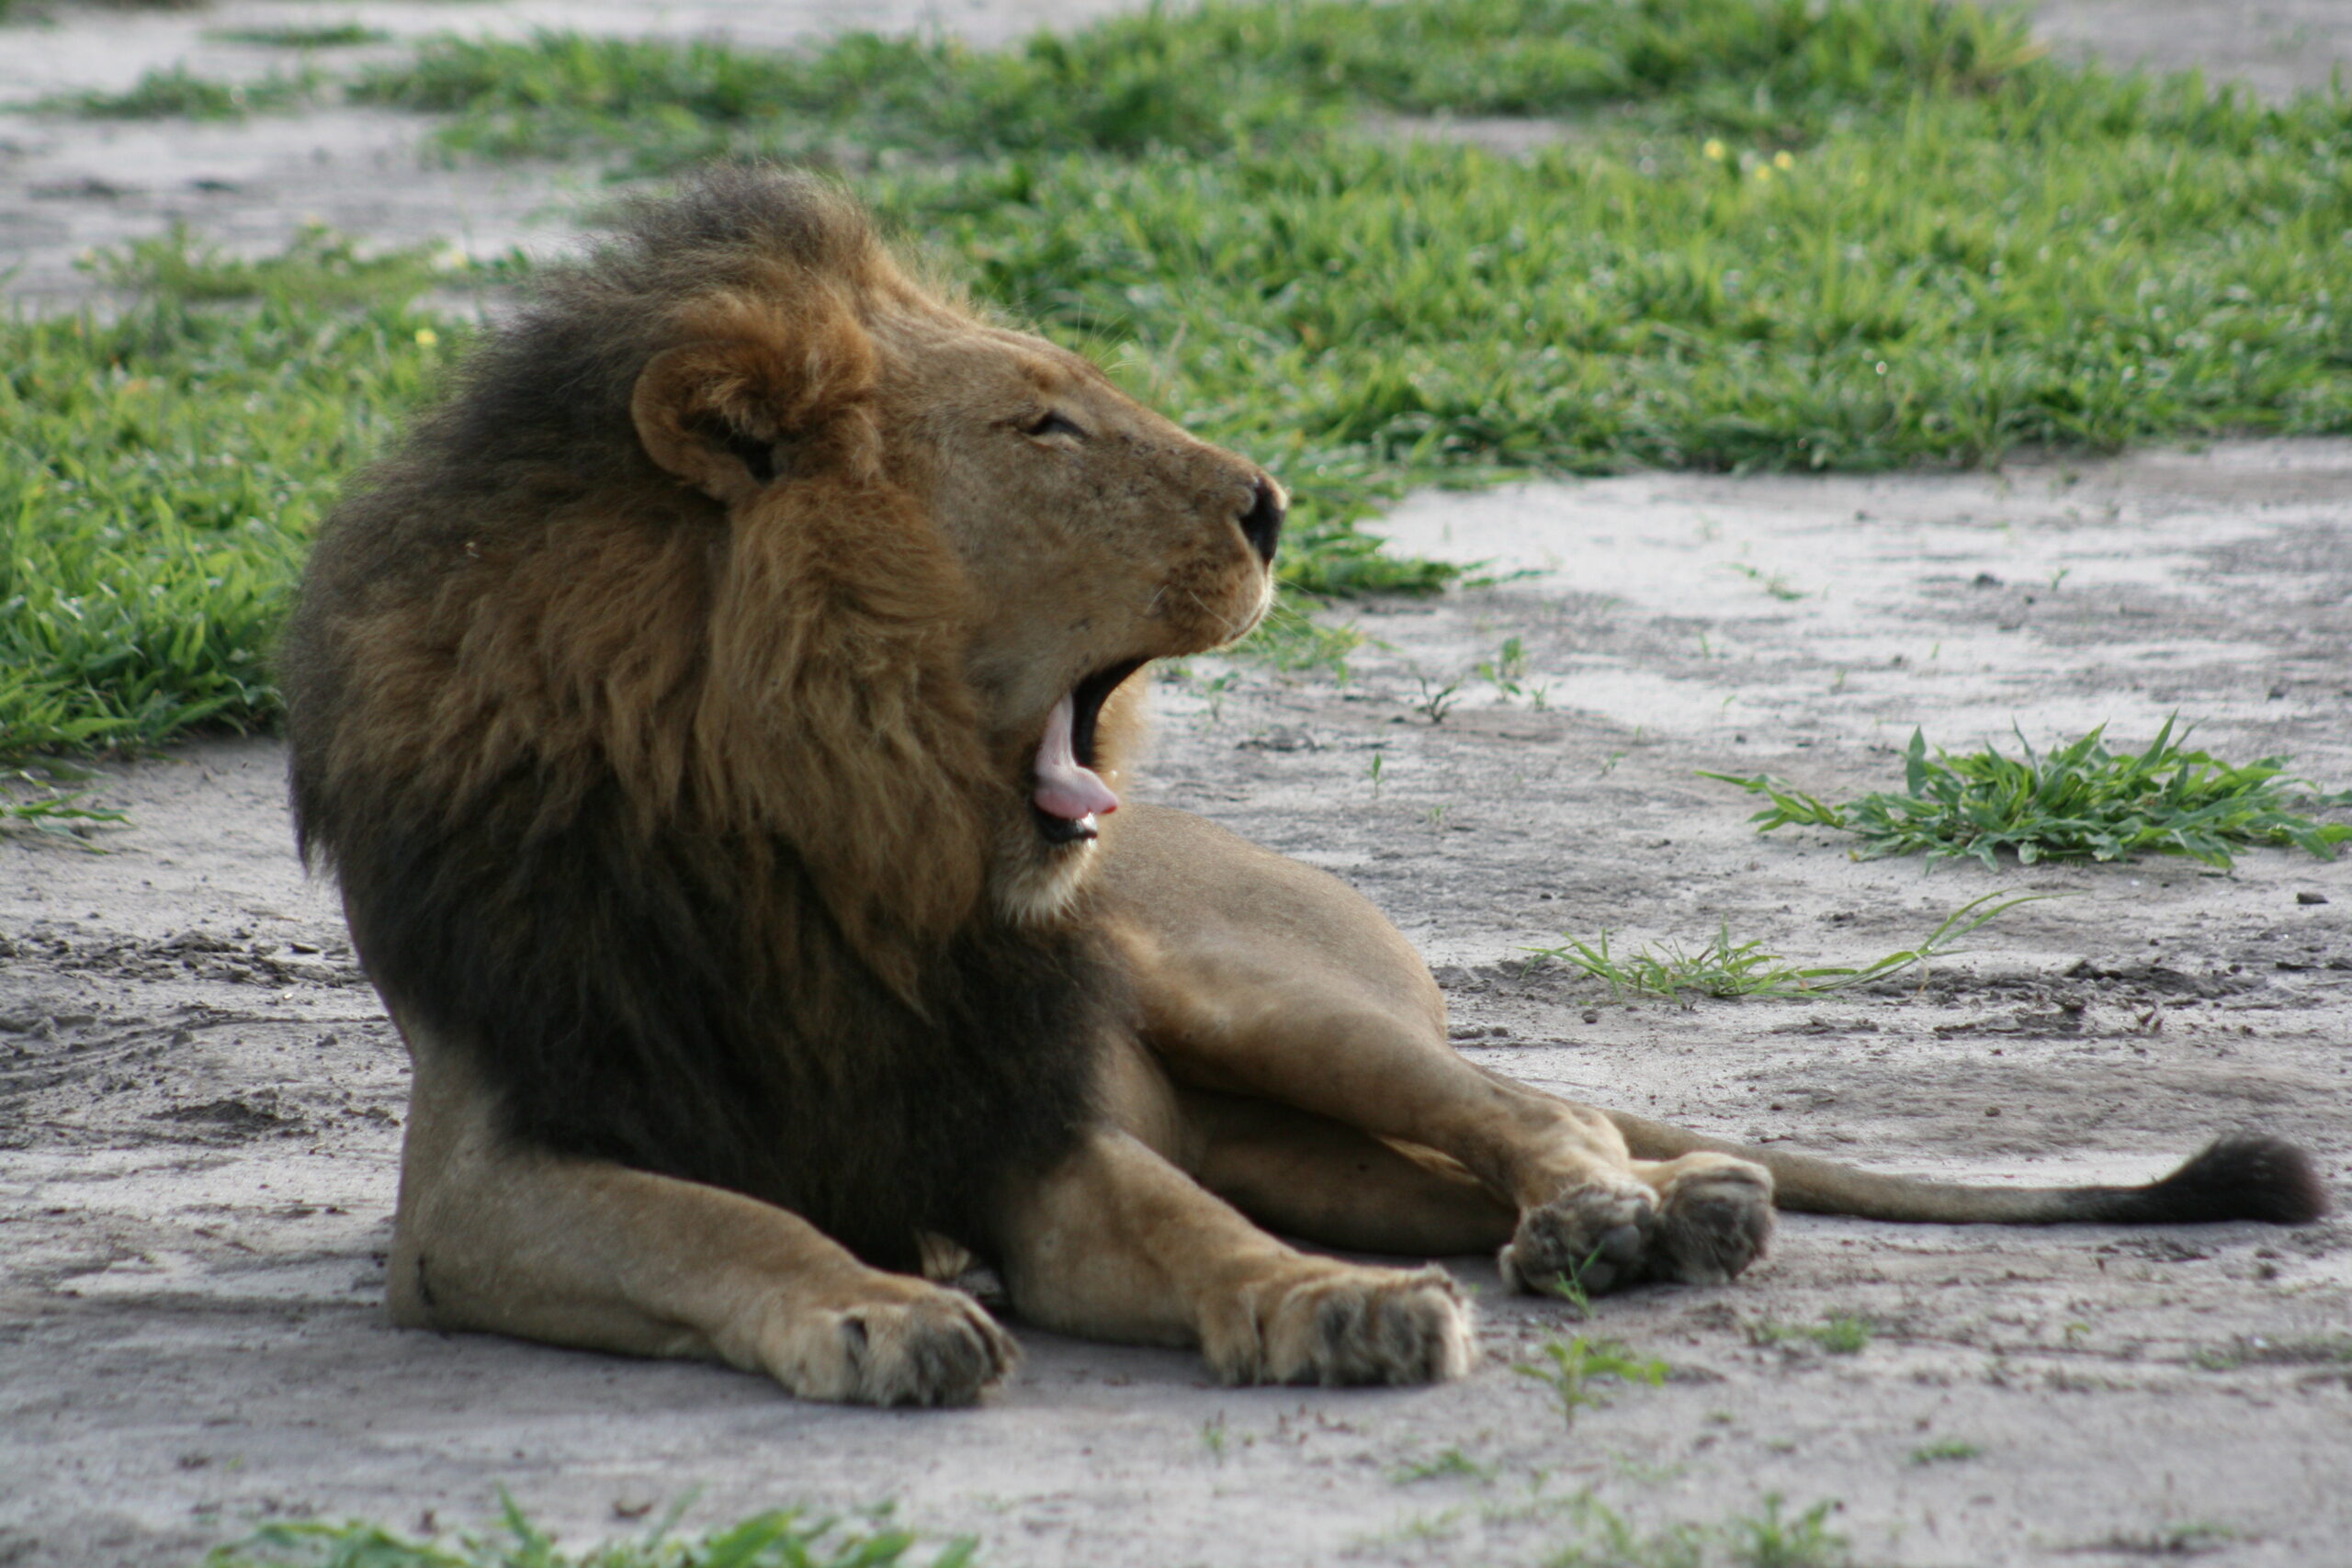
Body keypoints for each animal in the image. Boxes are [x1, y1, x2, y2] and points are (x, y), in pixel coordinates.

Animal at [284, 171, 2324, 1410]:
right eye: (1043, 422)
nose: (1272, 502)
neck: (825, 837)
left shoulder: (1022, 1115)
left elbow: (1188, 1229)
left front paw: (1325, 1313)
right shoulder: (485, 1178)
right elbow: (728, 1219)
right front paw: (886, 1306)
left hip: (1251, 994)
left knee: (1528, 1101)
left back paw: (1625, 1219)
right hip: (1270, 1100)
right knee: (1431, 1168)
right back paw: (1688, 1208)